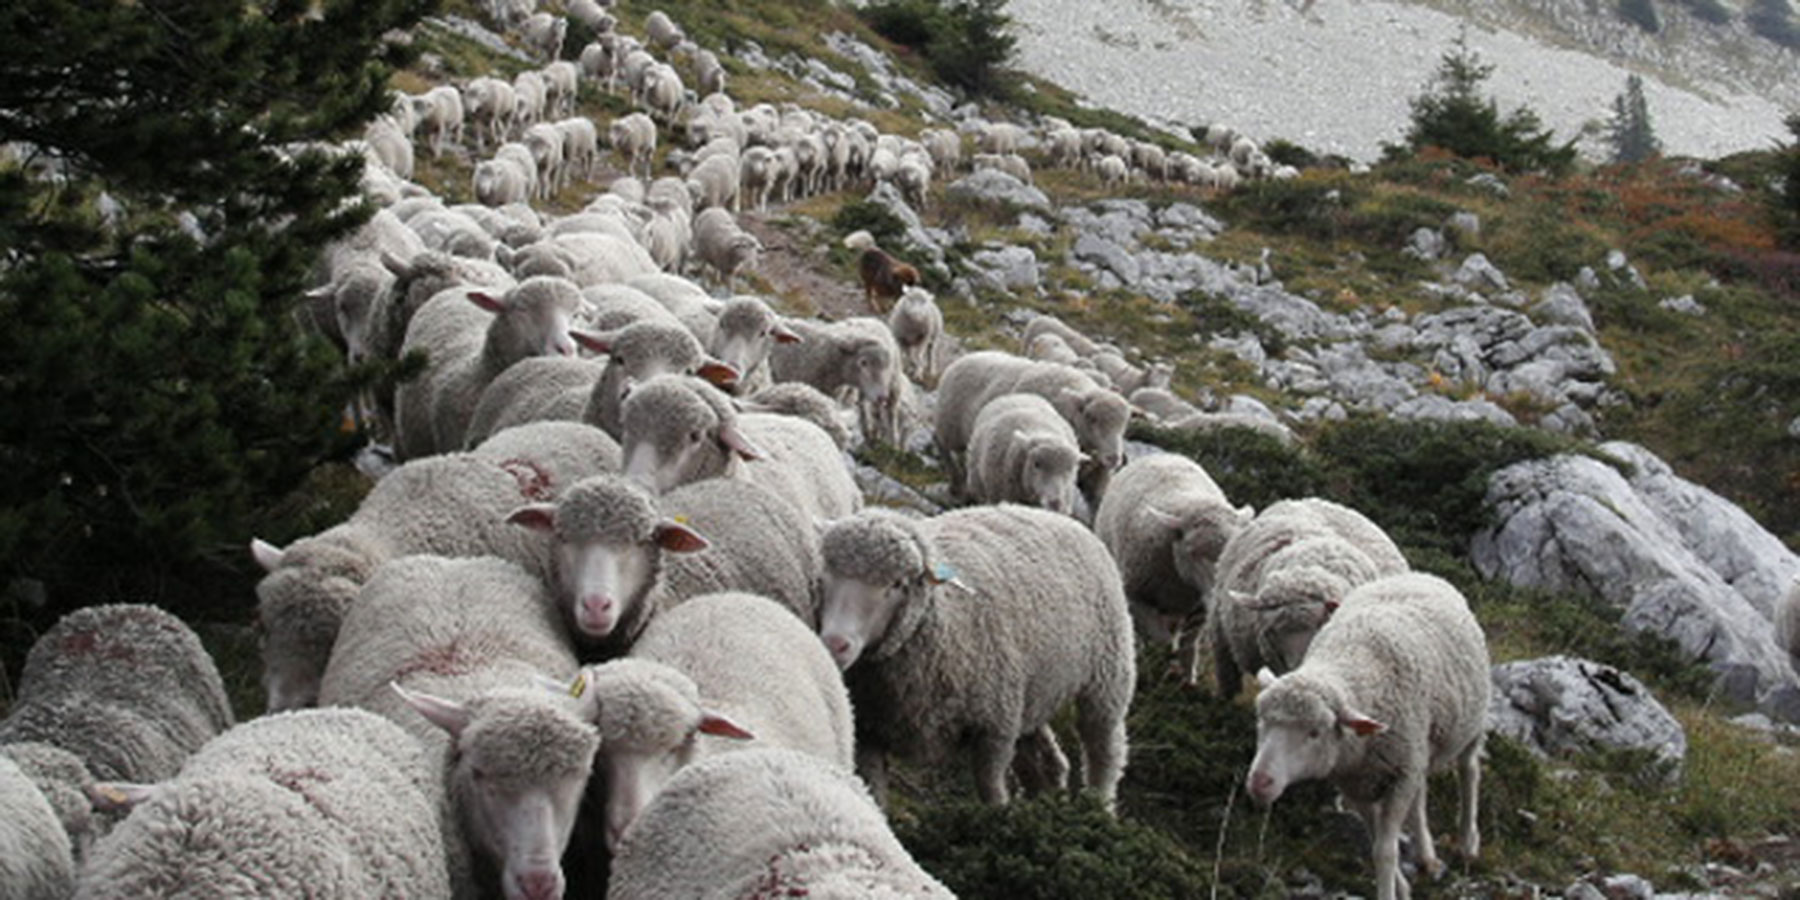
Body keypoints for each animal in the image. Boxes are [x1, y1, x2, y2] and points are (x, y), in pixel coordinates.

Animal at [817, 505, 1135, 811]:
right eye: (827, 573)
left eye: (897, 584)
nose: (835, 643)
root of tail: (1059, 517)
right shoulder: (868, 733)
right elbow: (876, 795)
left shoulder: (995, 729)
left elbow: (990, 789)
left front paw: (997, 820)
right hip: (1031, 693)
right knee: (1046, 762)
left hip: (1107, 677)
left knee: (1104, 751)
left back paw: (1100, 808)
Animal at [1093, 453, 1254, 686]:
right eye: (1192, 552)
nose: (1220, 596)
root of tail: (1162, 455)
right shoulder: (1137, 599)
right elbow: (1161, 640)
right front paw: (1161, 667)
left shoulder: (1199, 610)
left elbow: (1189, 647)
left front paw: (1188, 681)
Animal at [1247, 572, 1489, 900]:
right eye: (1261, 721)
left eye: (1315, 732)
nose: (1260, 782)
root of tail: (1416, 574)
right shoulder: (1356, 783)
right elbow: (1376, 841)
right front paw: (1402, 886)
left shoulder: (1399, 777)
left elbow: (1385, 851)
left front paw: (1390, 890)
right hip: (1419, 748)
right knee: (1421, 794)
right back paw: (1426, 855)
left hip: (1469, 723)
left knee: (1469, 771)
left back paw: (1467, 842)